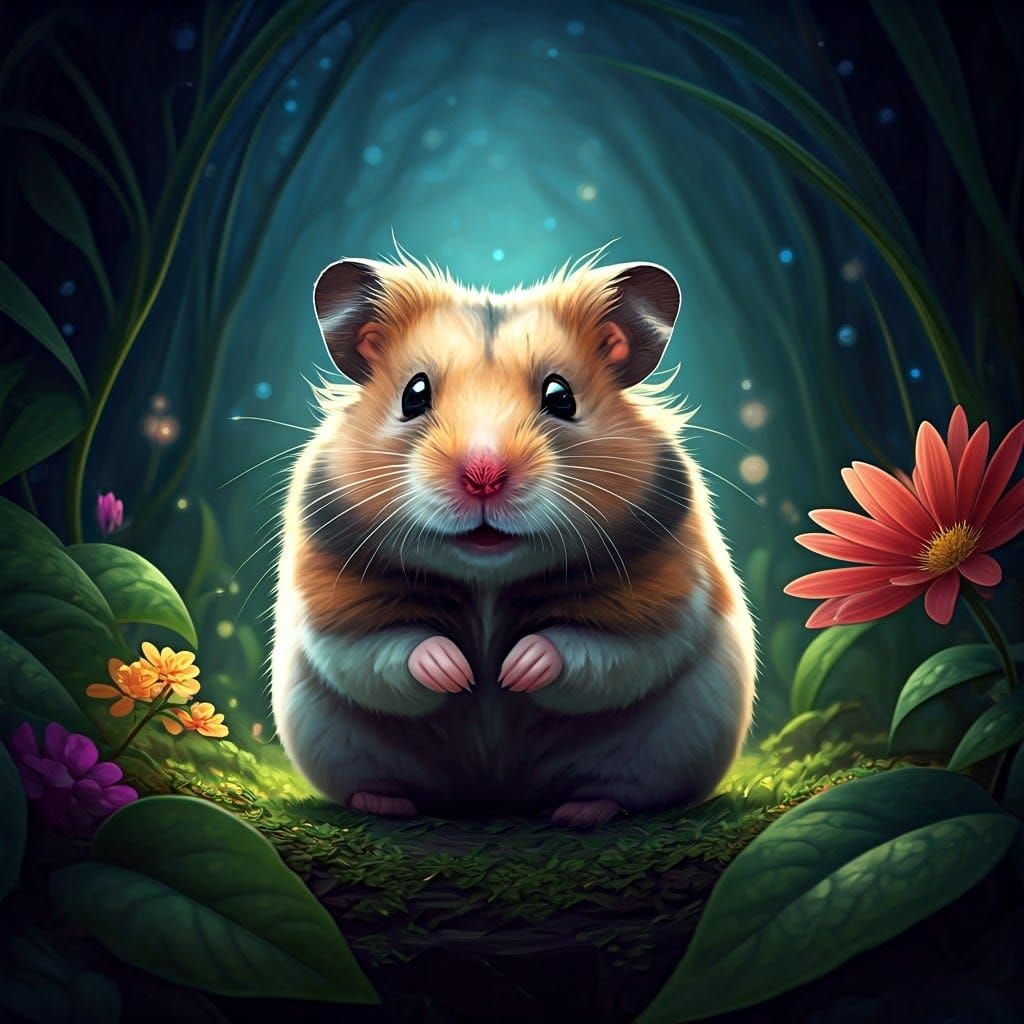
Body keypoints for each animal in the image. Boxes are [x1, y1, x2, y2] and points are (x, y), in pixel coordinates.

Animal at [271, 251, 756, 827]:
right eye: (414, 394)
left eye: (561, 396)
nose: (483, 476)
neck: (488, 575)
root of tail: (496, 795)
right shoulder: (335, 597)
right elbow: (385, 647)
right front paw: (458, 674)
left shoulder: (662, 596)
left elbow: (599, 647)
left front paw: (514, 672)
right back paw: (385, 803)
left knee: (623, 790)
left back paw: (581, 811)